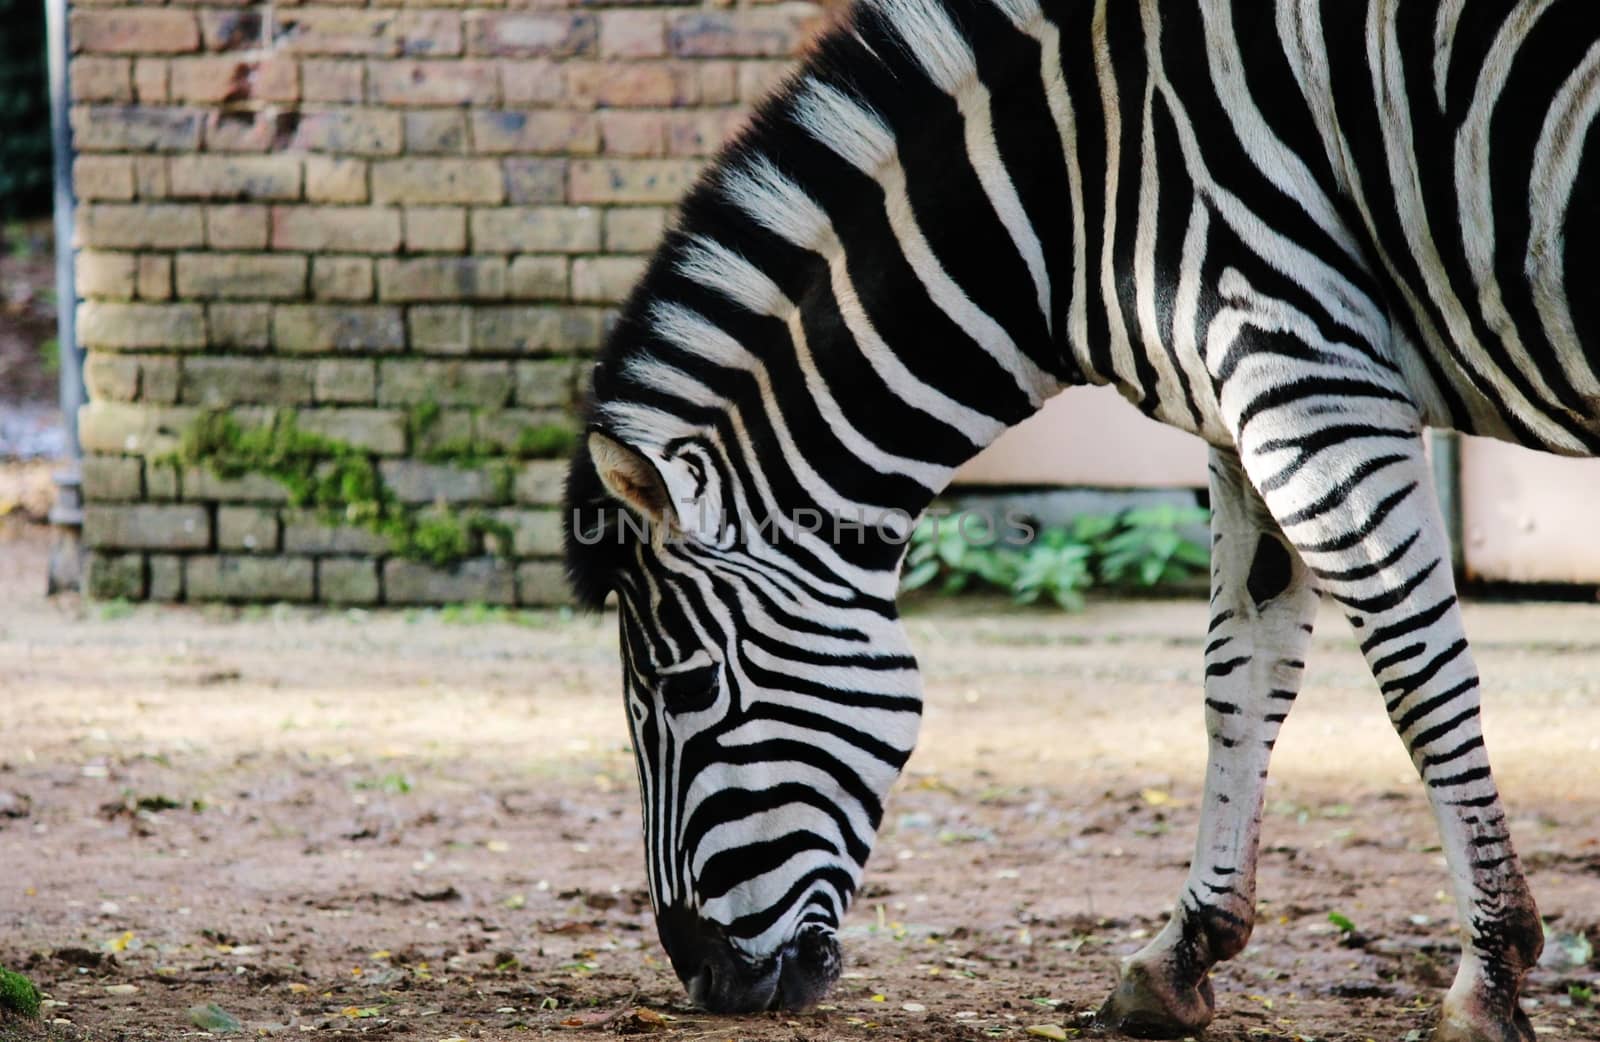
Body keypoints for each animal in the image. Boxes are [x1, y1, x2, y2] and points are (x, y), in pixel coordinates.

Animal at [566, 0, 1600, 1037]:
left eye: (690, 689)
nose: (705, 980)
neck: (1074, 191)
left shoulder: (1310, 374)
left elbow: (1419, 681)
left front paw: (1489, 978)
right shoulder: (1249, 409)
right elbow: (1240, 675)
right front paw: (1181, 954)